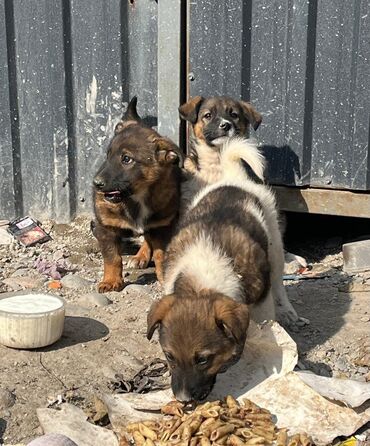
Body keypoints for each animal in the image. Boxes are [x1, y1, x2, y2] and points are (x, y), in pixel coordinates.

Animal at [92, 97, 182, 292]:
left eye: (127, 159)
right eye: (108, 156)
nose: (96, 184)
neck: (136, 198)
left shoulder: (163, 227)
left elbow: (161, 256)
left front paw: (164, 278)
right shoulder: (106, 227)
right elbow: (112, 257)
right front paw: (111, 281)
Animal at [147, 138, 290, 402]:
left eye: (203, 359)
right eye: (169, 356)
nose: (183, 400)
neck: (201, 284)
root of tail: (233, 178)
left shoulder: (261, 299)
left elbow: (265, 321)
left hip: (275, 245)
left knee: (279, 282)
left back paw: (290, 312)